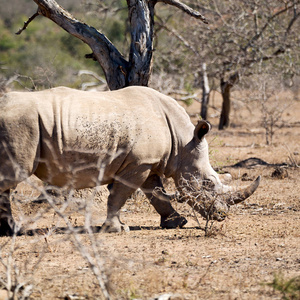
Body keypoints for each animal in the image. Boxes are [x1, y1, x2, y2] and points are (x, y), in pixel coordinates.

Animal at [0, 85, 260, 236]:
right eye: (208, 183)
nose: (222, 215)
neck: (183, 141)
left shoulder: (150, 162)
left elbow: (155, 193)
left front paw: (177, 222)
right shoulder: (139, 163)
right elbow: (120, 195)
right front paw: (117, 229)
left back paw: (10, 230)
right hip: (21, 124)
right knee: (12, 177)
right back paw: (13, 231)